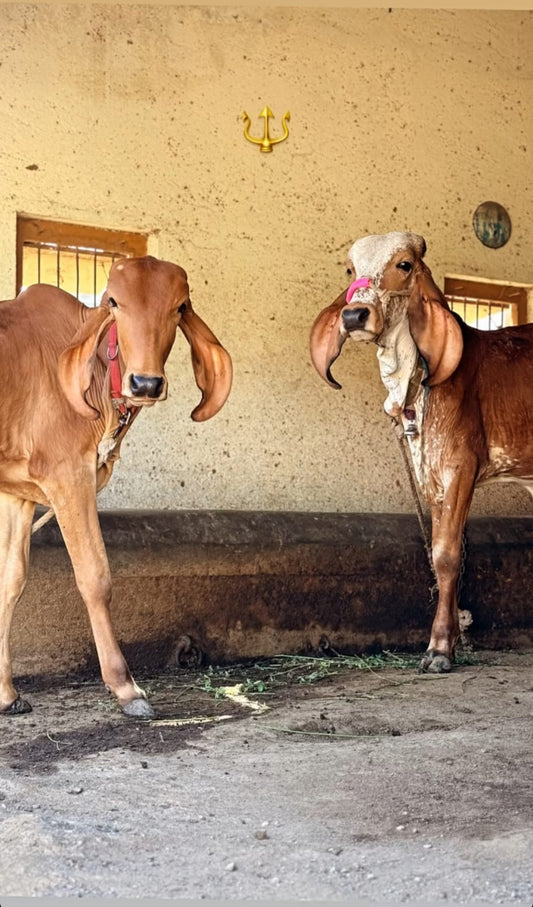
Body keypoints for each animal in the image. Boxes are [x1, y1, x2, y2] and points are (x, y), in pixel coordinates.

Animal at [0, 255, 232, 717]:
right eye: (114, 303)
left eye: (179, 307)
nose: (145, 383)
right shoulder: (68, 475)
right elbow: (95, 577)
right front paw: (125, 686)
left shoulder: (18, 492)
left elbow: (10, 581)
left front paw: (5, 693)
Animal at [310, 231, 533, 673]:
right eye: (350, 269)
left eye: (405, 265)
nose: (354, 315)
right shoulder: (429, 477)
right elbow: (436, 551)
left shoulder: (460, 466)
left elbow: (446, 556)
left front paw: (440, 648)